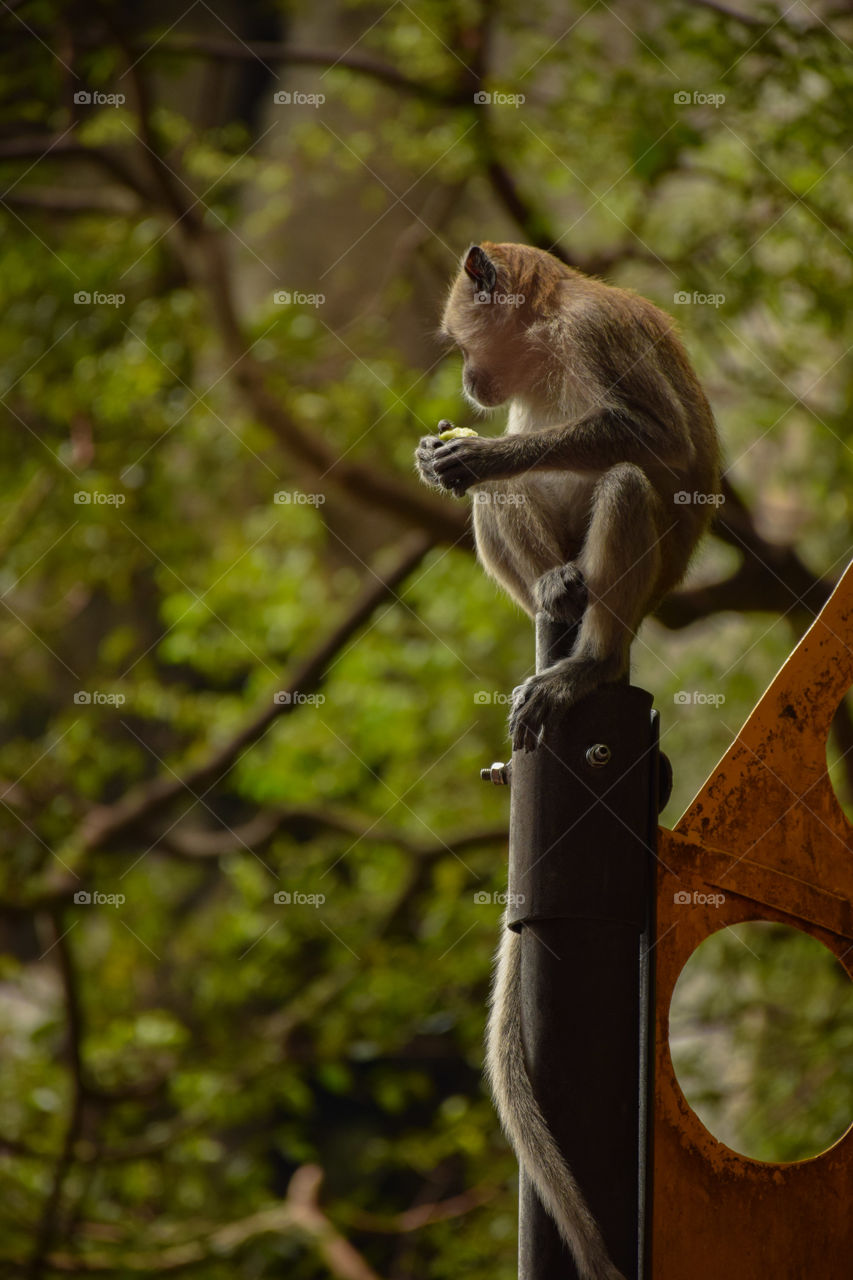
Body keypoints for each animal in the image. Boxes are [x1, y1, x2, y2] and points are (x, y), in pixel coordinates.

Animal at [415, 243, 719, 1280]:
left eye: (458, 335)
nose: (467, 380)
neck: (546, 335)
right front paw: (450, 453)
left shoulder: (594, 335)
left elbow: (651, 438)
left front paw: (474, 447)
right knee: (519, 515)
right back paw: (551, 593)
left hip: (641, 583)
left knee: (623, 478)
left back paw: (588, 661)